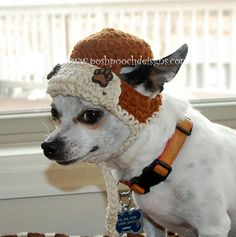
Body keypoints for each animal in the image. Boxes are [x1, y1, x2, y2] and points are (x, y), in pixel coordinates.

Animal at [41, 45, 236, 237]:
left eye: (91, 115)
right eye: (54, 113)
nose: (47, 147)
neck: (162, 156)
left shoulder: (212, 227)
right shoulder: (153, 223)